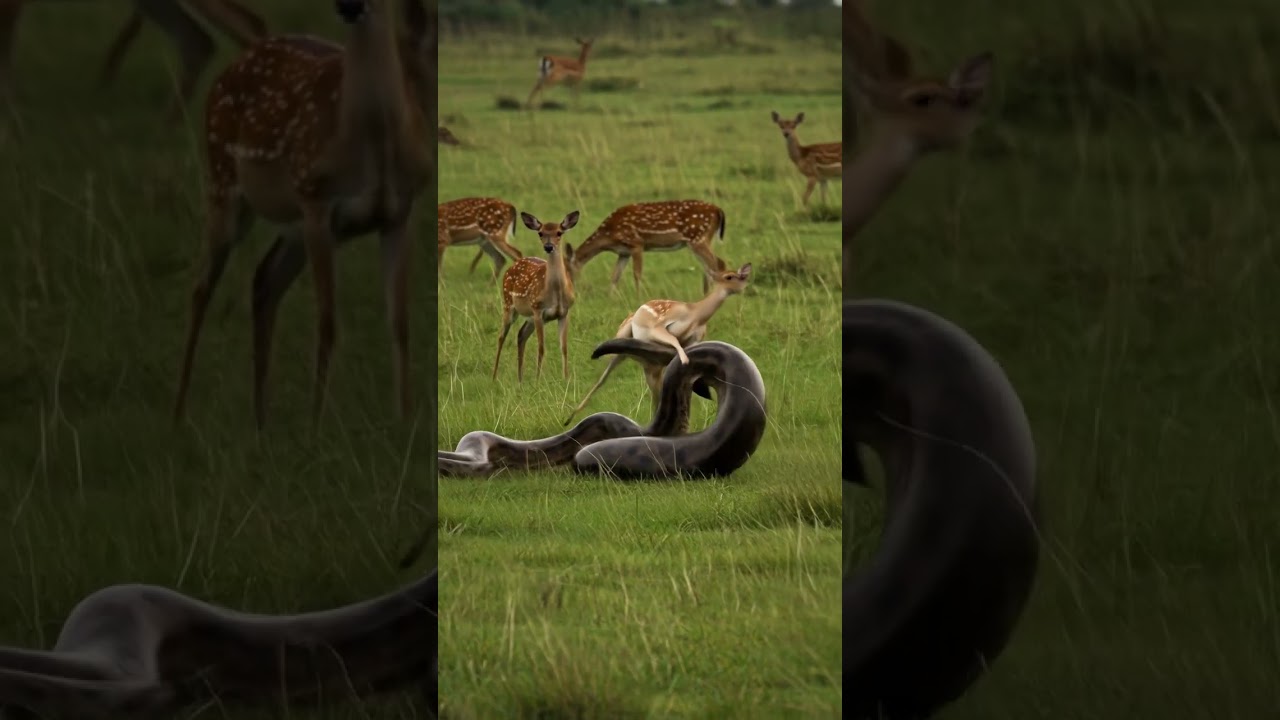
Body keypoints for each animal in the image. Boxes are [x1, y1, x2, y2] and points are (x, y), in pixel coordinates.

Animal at [171, 0, 436, 431]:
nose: (347, 7)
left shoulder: (402, 212)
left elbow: (400, 323)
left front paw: (406, 422)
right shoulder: (316, 201)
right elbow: (327, 323)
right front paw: (316, 427)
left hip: (292, 230)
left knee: (264, 280)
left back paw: (261, 422)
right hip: (223, 182)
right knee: (201, 287)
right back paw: (178, 414)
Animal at [492, 210, 580, 383]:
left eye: (559, 232)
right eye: (541, 233)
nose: (548, 246)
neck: (556, 293)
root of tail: (513, 265)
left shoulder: (564, 312)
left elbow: (564, 347)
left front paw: (566, 378)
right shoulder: (538, 309)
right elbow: (541, 347)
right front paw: (538, 379)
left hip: (530, 317)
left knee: (521, 335)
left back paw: (520, 379)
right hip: (509, 304)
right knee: (501, 336)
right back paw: (494, 377)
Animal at [563, 261, 751, 427]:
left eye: (739, 275)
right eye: (728, 276)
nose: (743, 283)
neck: (695, 316)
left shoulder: (696, 338)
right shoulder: (658, 327)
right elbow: (674, 341)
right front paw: (684, 360)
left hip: (650, 365)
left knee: (655, 393)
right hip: (623, 340)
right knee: (603, 378)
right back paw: (568, 418)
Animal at [570, 200, 728, 296]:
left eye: (567, 270)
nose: (571, 290)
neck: (609, 234)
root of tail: (718, 210)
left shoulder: (636, 243)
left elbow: (637, 273)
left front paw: (638, 297)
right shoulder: (624, 252)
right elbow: (615, 275)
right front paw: (611, 297)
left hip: (697, 237)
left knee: (717, 263)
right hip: (701, 240)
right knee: (711, 265)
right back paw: (705, 294)